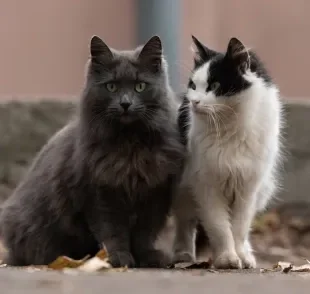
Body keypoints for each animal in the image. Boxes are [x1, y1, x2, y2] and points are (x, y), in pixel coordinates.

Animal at [0, 35, 184, 268]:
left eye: (140, 86)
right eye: (111, 86)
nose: (125, 103)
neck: (130, 146)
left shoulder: (154, 195)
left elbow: (144, 234)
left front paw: (147, 258)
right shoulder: (100, 196)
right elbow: (112, 233)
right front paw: (119, 259)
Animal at [173, 35, 282, 268]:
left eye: (214, 85)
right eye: (193, 85)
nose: (194, 102)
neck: (230, 127)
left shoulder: (248, 187)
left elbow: (239, 228)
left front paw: (240, 256)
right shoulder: (206, 184)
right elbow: (219, 227)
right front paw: (227, 258)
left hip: (263, 189)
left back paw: (247, 254)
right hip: (182, 188)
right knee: (185, 222)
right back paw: (183, 254)